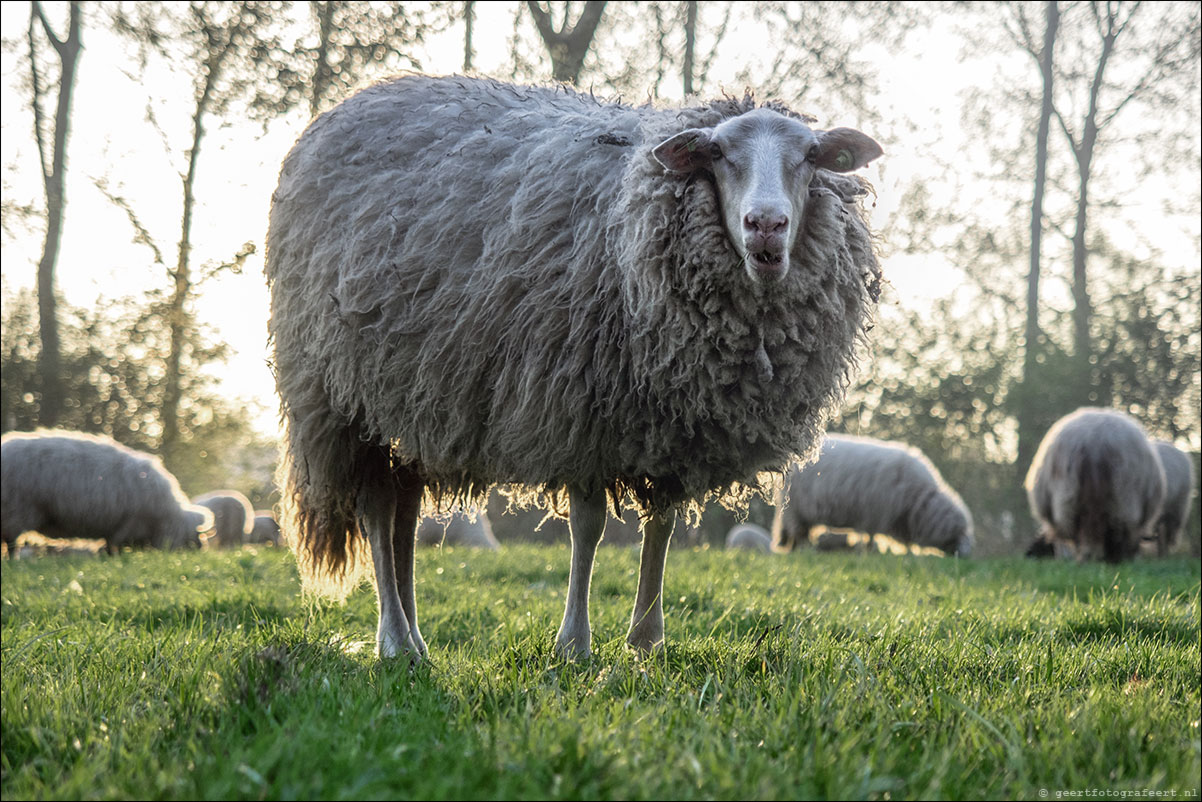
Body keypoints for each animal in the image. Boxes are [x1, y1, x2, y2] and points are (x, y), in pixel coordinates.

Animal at [0, 430, 211, 555]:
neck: (168, 515)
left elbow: (110, 544)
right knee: (12, 543)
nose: (203, 550)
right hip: (15, 510)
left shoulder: (119, 526)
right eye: (196, 534)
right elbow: (115, 546)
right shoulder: (130, 523)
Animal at [265, 72, 884, 663]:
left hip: (410, 397)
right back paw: (394, 639)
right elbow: (588, 529)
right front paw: (574, 644)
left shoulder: (674, 430)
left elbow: (661, 526)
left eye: (810, 156)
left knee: (405, 516)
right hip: (344, 398)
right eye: (718, 153)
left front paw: (646, 640)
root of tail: (351, 103)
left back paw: (416, 643)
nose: (765, 225)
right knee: (375, 509)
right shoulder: (582, 411)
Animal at [769, 432, 976, 557]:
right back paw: (800, 551)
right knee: (797, 533)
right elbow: (870, 538)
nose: (966, 557)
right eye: (959, 533)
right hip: (795, 508)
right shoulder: (874, 515)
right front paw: (869, 552)